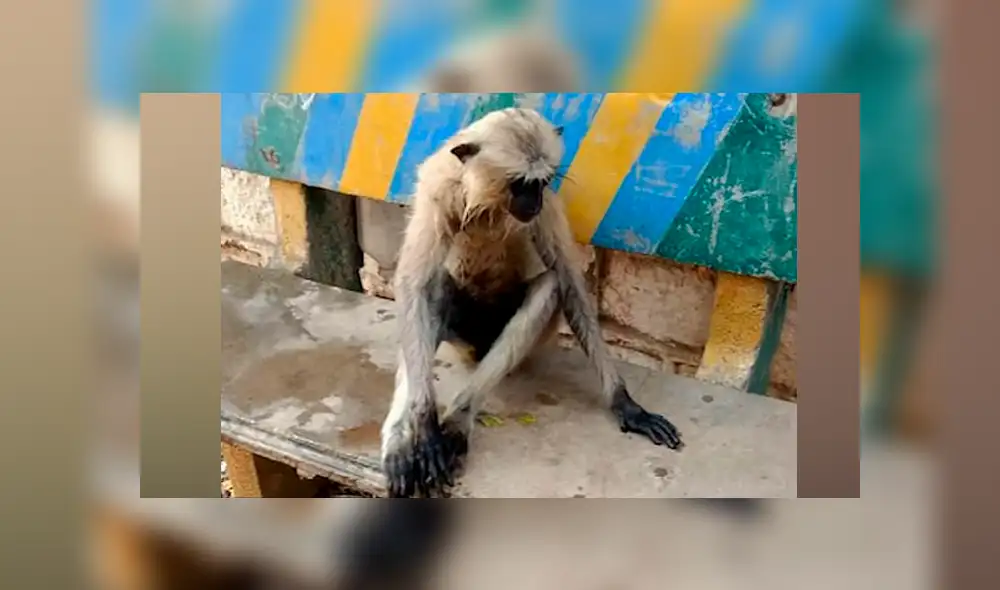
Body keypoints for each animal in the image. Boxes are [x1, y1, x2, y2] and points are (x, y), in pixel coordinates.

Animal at [380, 107, 684, 498]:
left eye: (541, 183)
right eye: (521, 184)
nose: (533, 202)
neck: (490, 205)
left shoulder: (549, 204)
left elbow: (569, 283)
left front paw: (624, 403)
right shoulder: (437, 189)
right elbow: (412, 285)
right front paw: (423, 426)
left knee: (549, 286)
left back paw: (458, 421)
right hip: (461, 334)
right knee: (434, 288)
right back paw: (403, 442)